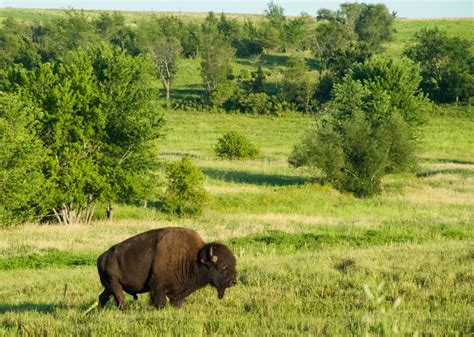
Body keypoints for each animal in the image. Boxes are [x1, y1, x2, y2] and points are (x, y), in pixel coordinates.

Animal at [96, 227, 237, 308]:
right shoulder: (157, 287)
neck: (194, 258)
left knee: (102, 297)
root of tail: (100, 258)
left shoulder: (179, 292)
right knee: (120, 300)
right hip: (115, 284)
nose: (233, 282)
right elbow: (160, 302)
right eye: (223, 265)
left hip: (109, 287)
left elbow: (176, 301)